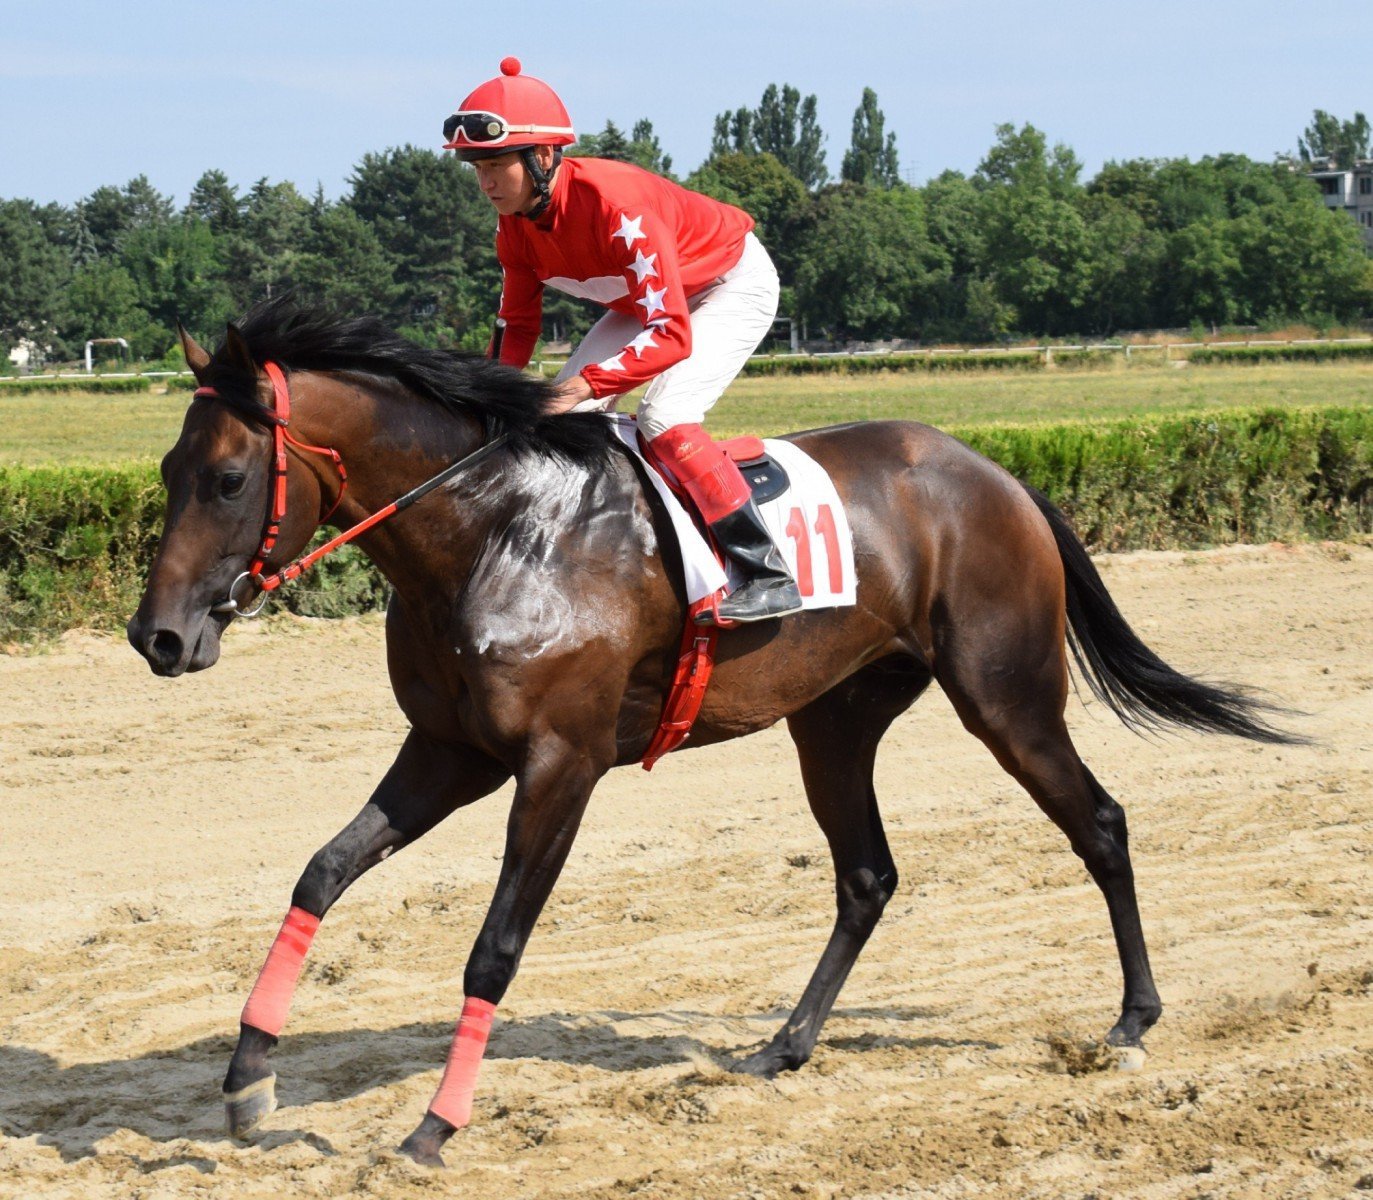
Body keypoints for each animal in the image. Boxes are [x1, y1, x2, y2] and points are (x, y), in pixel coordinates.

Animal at [123, 296, 1290, 1158]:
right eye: (168, 471)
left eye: (227, 477)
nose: (158, 637)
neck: (495, 533)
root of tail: (995, 473)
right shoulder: (449, 752)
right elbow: (320, 872)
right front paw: (247, 1082)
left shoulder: (560, 764)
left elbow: (493, 949)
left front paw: (432, 1129)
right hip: (832, 722)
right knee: (866, 876)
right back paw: (785, 1044)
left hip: (1004, 696)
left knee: (1097, 823)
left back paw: (1131, 1021)